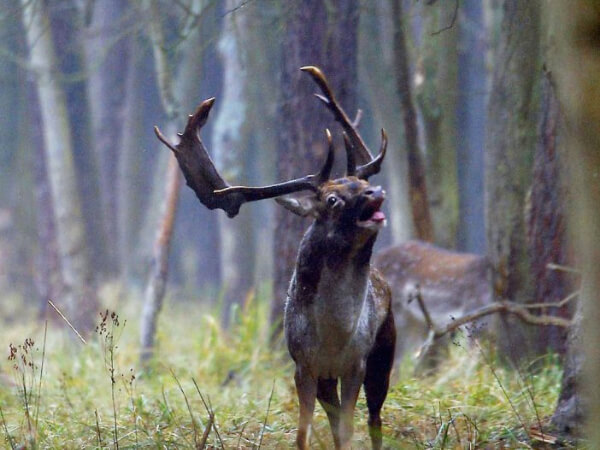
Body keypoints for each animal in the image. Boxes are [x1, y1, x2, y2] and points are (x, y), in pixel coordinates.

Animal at [156, 67, 394, 450]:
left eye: (359, 183)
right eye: (332, 199)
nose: (377, 191)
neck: (334, 337)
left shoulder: (356, 362)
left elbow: (348, 428)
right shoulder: (303, 365)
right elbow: (304, 431)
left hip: (384, 352)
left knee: (374, 418)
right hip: (328, 377)